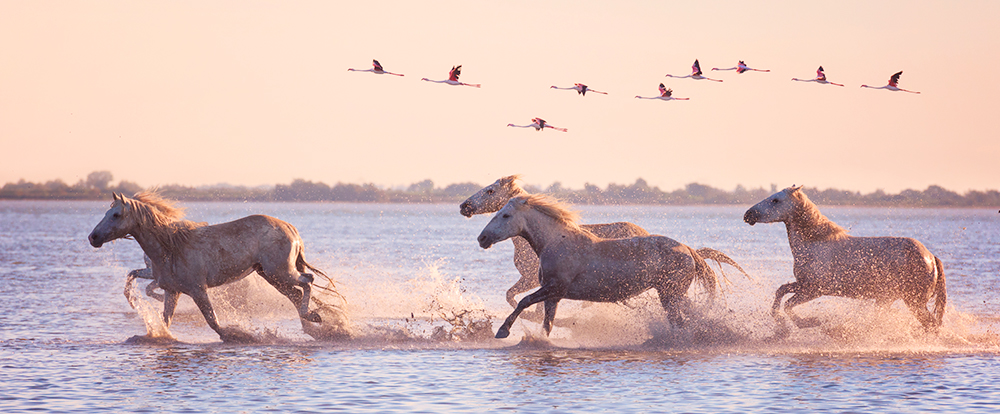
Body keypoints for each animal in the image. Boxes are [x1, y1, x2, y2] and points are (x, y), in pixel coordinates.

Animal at [88, 191, 336, 342]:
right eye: (106, 212)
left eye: (116, 214)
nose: (93, 238)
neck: (171, 246)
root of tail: (290, 228)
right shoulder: (172, 290)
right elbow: (164, 319)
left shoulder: (198, 290)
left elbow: (213, 321)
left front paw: (238, 336)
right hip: (270, 275)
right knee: (296, 294)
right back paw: (313, 328)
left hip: (281, 272)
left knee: (308, 281)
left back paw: (314, 318)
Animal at [480, 194, 732, 340]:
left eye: (505, 215)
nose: (482, 238)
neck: (556, 242)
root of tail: (688, 249)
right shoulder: (554, 296)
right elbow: (546, 324)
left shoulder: (555, 288)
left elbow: (523, 301)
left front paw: (503, 331)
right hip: (672, 294)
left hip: (671, 294)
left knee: (681, 321)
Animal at [744, 186, 944, 334]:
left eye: (775, 200)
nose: (748, 214)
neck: (815, 244)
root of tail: (931, 258)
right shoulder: (802, 284)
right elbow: (780, 292)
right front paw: (781, 324)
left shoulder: (814, 289)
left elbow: (788, 305)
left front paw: (809, 322)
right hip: (888, 299)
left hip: (914, 302)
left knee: (932, 326)